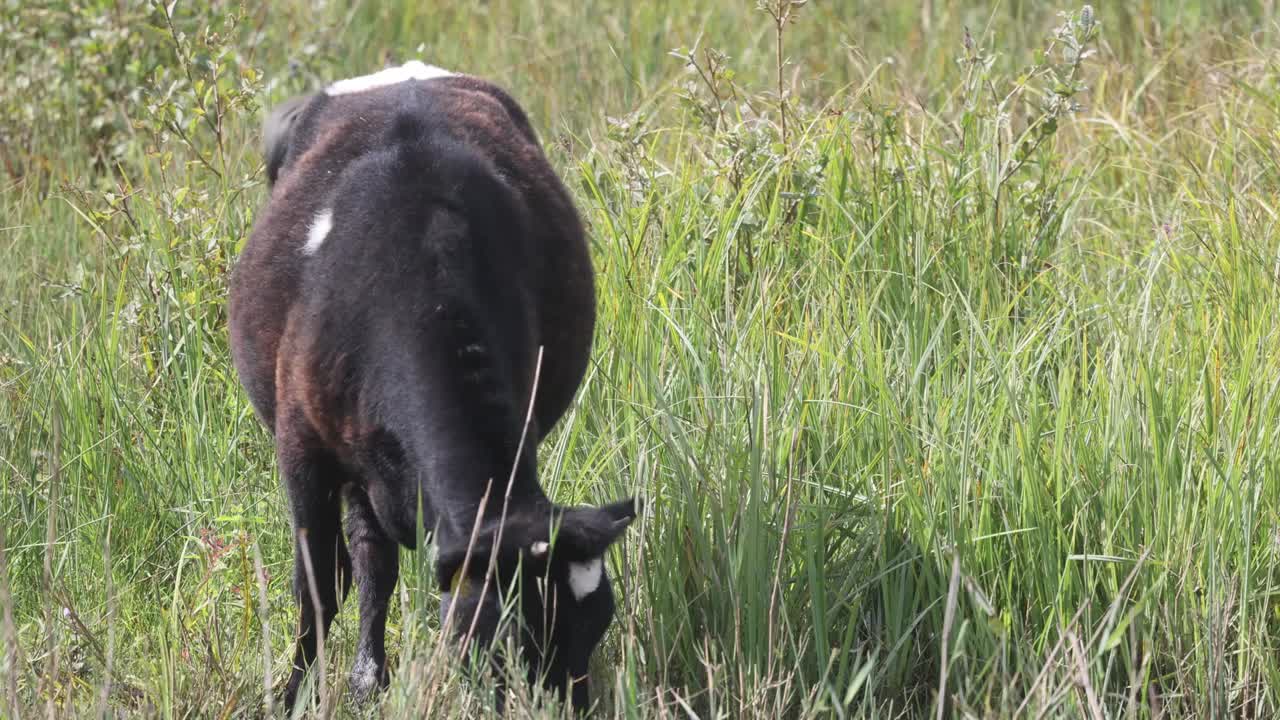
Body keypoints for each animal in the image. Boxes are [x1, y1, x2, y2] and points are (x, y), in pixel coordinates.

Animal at [227, 61, 637, 712]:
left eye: (599, 622)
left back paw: (369, 678)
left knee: (374, 555)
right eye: (512, 631)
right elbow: (318, 581)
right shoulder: (300, 447)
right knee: (366, 558)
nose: (566, 707)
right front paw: (291, 697)